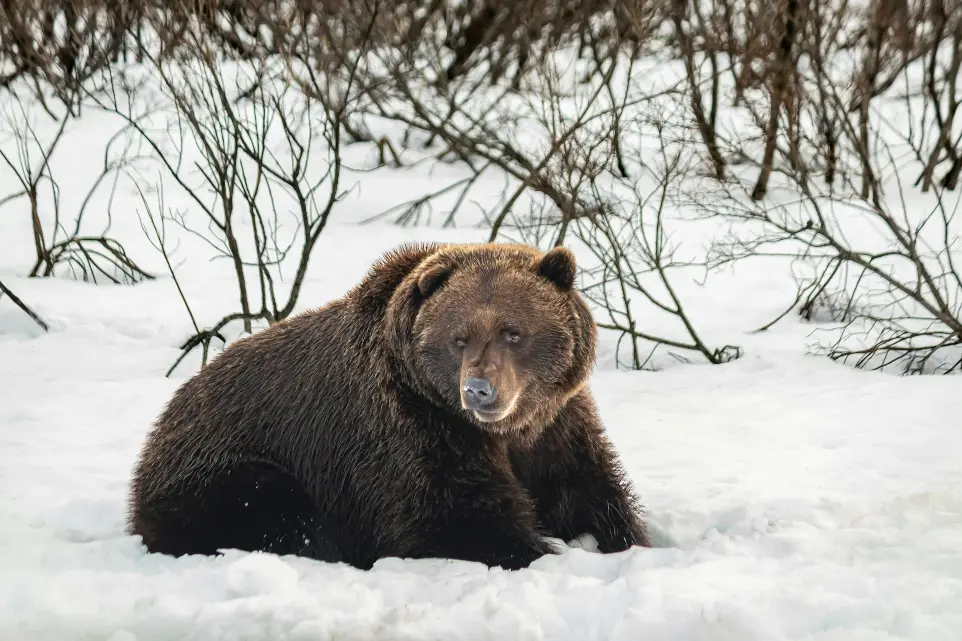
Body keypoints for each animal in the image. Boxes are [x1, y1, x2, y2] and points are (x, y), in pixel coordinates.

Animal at [127, 242, 650, 570]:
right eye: (458, 338)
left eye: (513, 332)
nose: (479, 390)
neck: (502, 432)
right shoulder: (409, 431)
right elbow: (453, 517)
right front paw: (538, 551)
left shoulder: (556, 426)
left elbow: (590, 490)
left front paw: (625, 541)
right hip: (226, 468)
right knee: (275, 508)